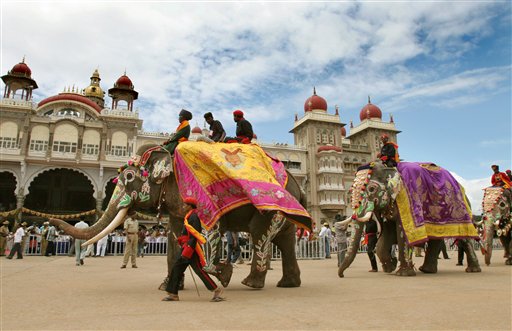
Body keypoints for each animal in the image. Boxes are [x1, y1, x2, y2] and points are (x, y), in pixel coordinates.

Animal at [50, 143, 312, 290]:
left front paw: (223, 276)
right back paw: (288, 284)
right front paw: (166, 286)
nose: (52, 221)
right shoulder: (175, 207)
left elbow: (207, 233)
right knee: (285, 242)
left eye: (129, 177)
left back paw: (252, 284)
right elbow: (176, 239)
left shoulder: (201, 198)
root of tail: (298, 186)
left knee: (261, 237)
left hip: (270, 208)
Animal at [338, 161, 482, 278]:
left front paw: (403, 274)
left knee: (464, 238)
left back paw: (473, 270)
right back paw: (427, 270)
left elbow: (402, 233)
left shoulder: (404, 201)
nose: (342, 275)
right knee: (436, 238)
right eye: (350, 191)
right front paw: (390, 267)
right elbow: (384, 238)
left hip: (461, 211)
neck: (388, 168)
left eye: (371, 189)